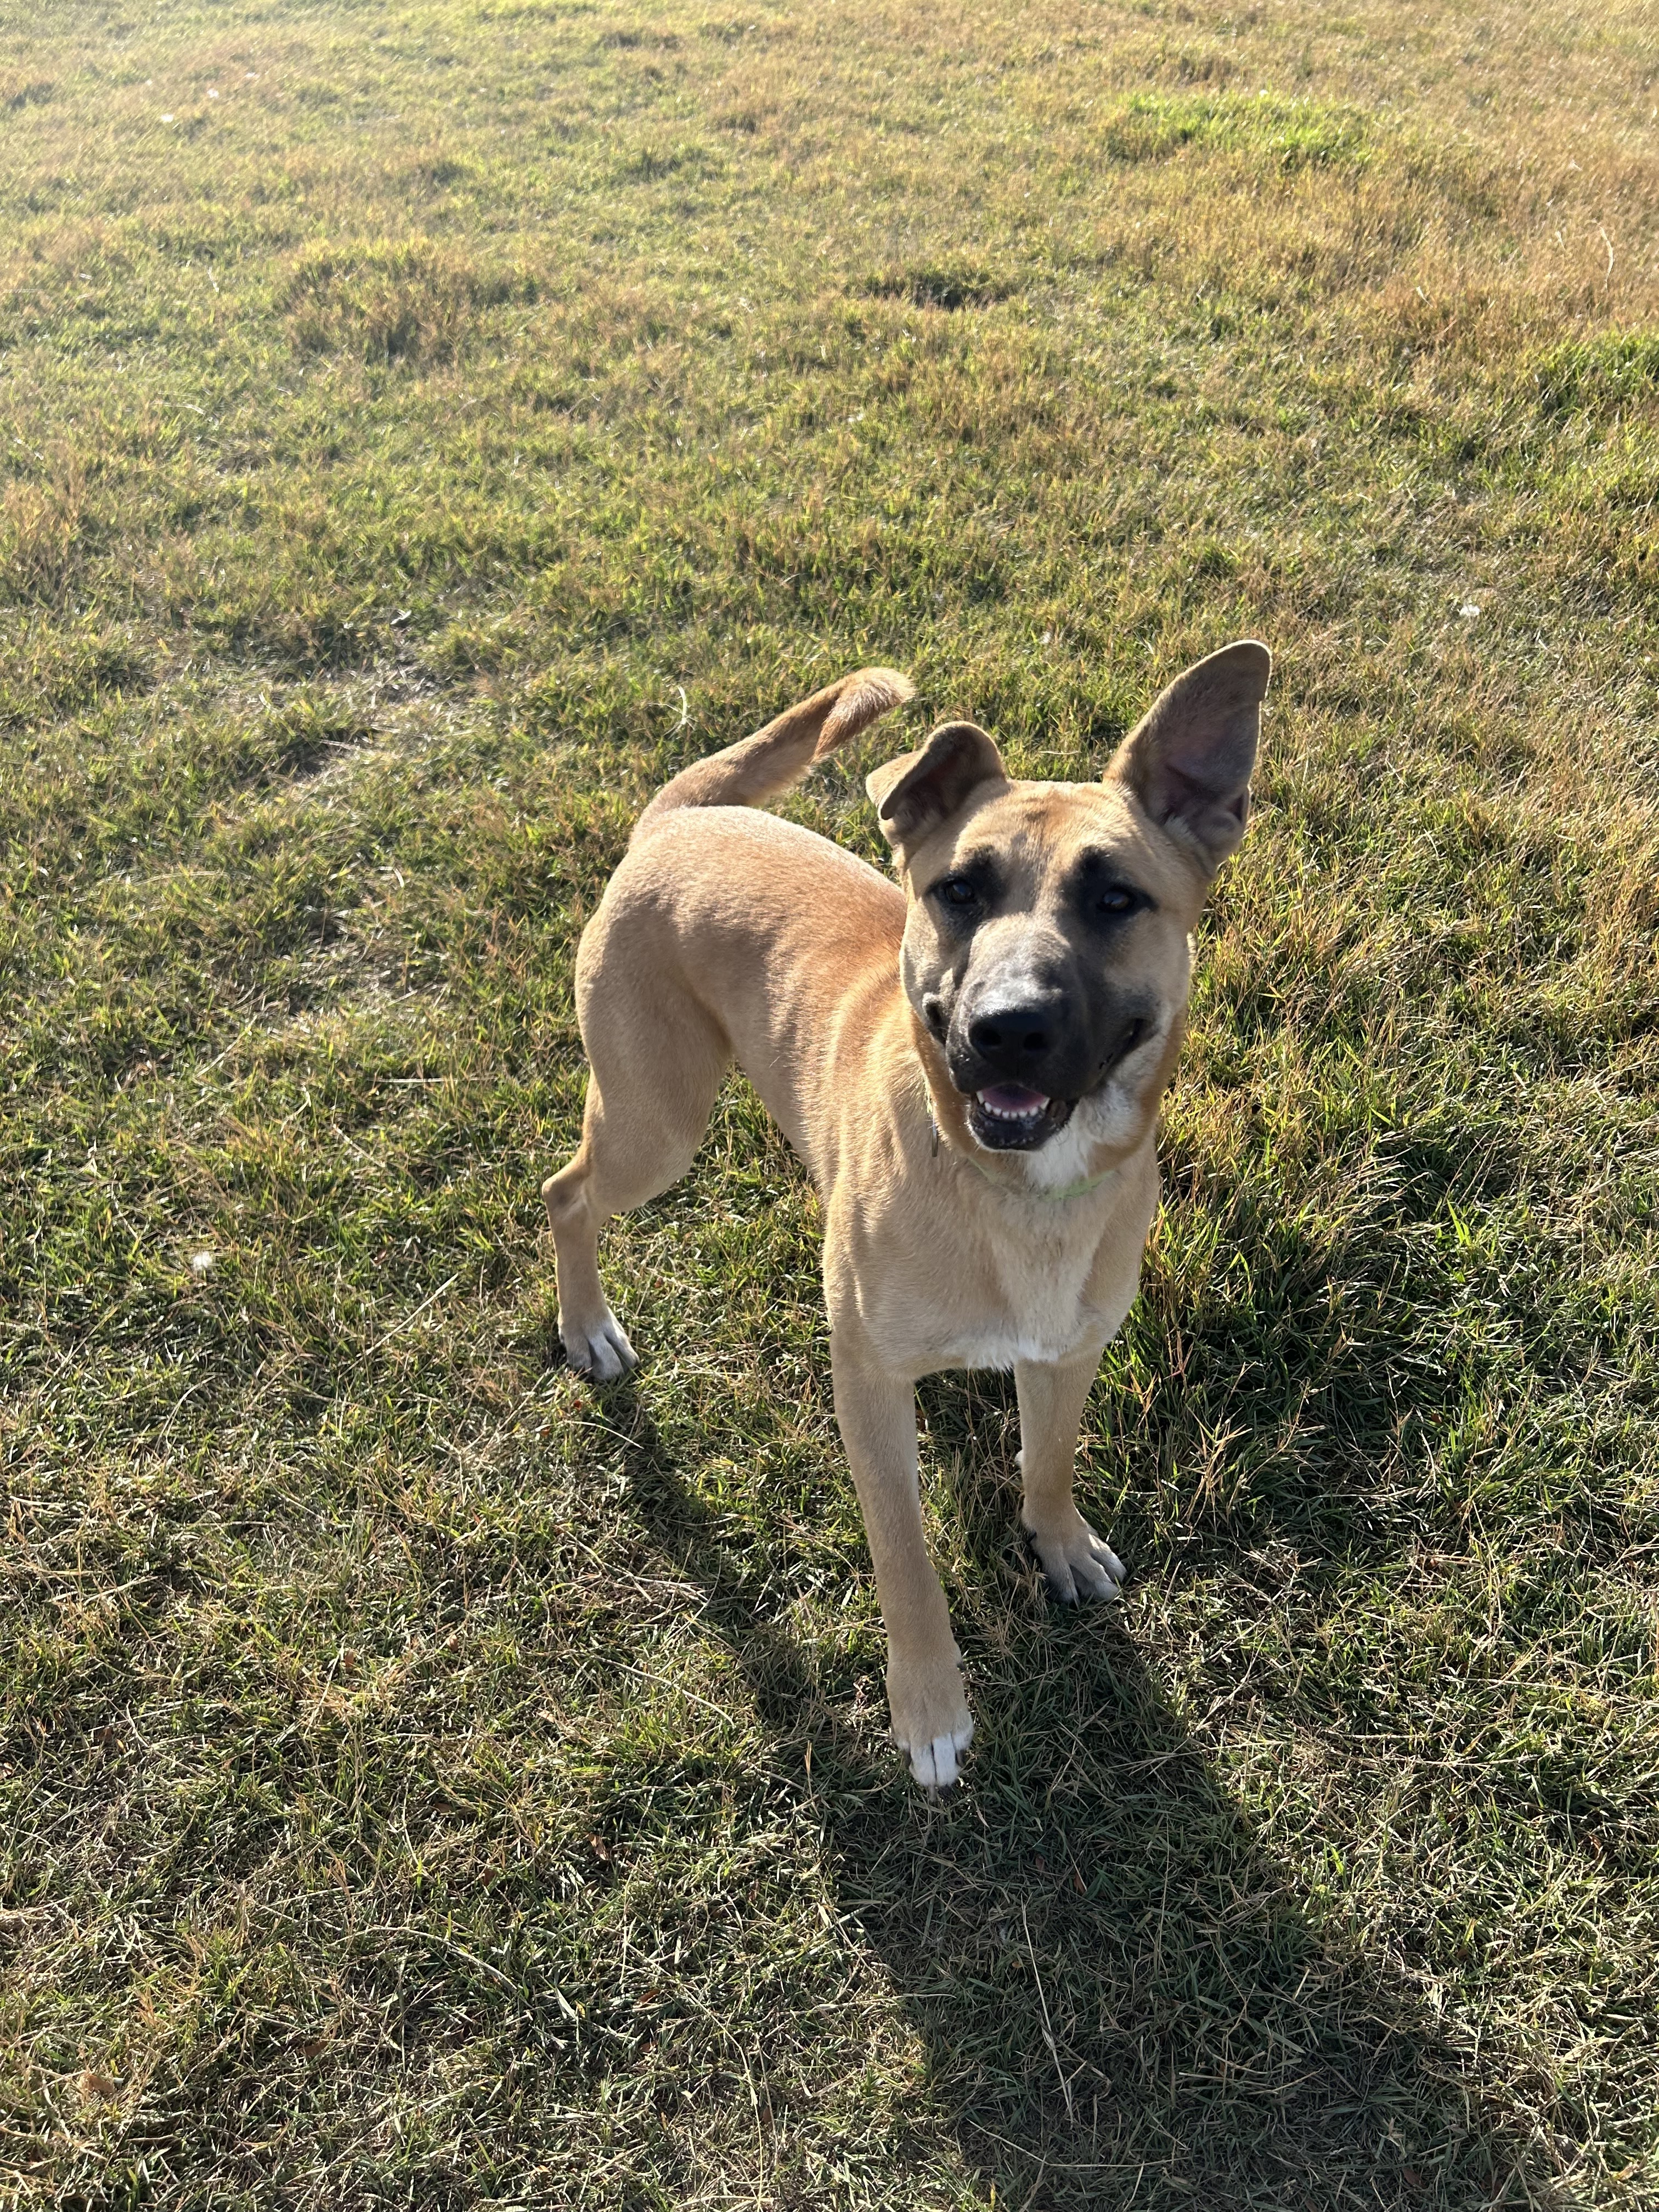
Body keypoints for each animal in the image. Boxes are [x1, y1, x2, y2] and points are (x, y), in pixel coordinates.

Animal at [546, 646, 1274, 1787]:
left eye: (1116, 897)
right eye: (957, 890)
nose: (1006, 1029)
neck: (1011, 1191)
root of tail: (680, 817)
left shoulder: (1067, 1351)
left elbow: (1048, 1456)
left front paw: (1057, 1540)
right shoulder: (869, 1386)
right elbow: (904, 1558)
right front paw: (929, 1707)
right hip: (653, 1123)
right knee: (564, 1193)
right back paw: (587, 1325)